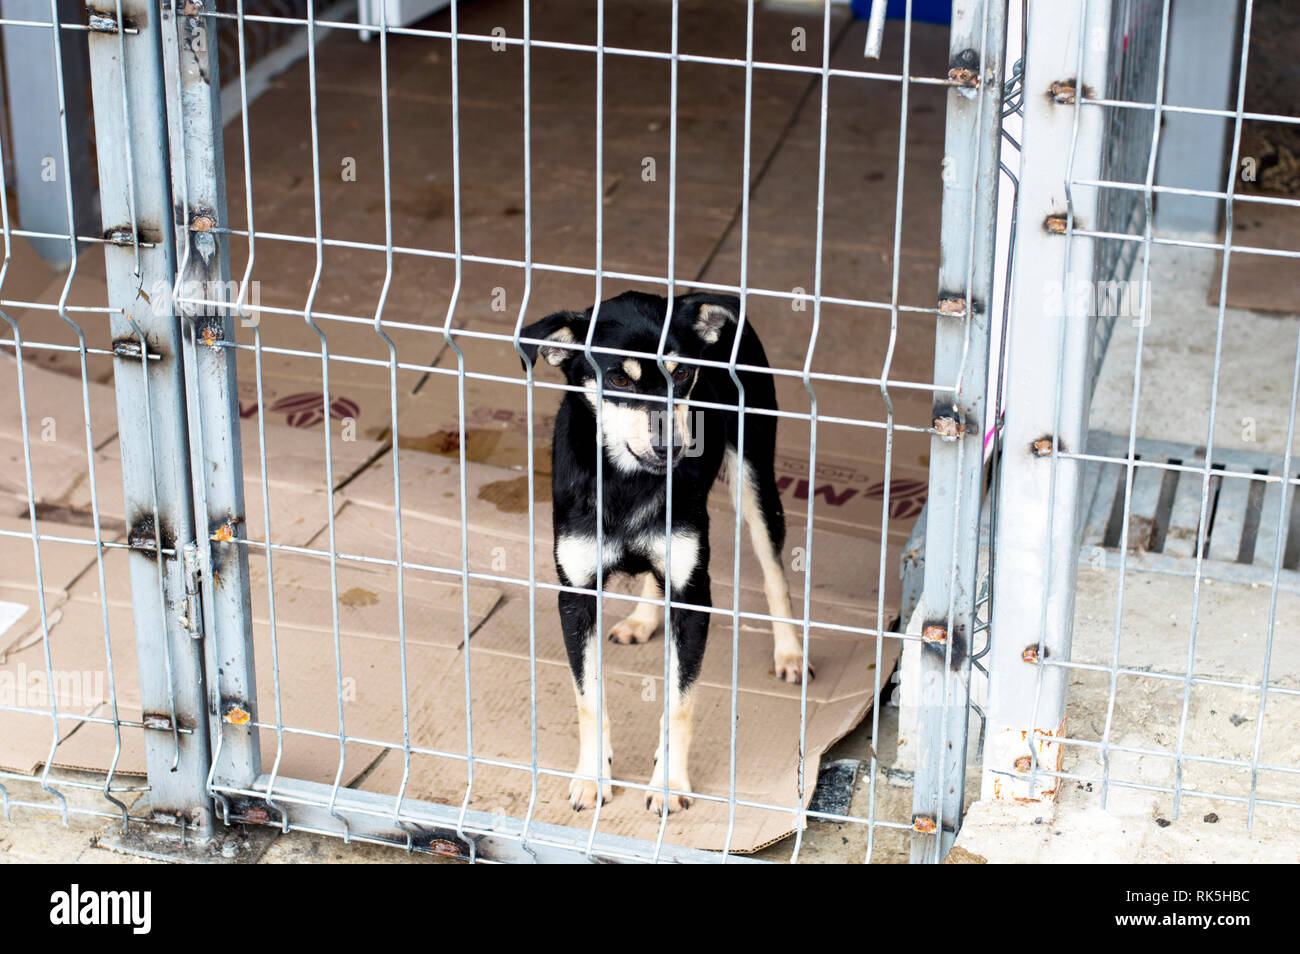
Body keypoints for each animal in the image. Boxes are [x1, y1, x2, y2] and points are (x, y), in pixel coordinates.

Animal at [520, 289, 811, 816]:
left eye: (682, 374)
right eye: (618, 379)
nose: (671, 447)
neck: (629, 481)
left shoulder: (695, 597)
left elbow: (680, 704)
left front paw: (670, 784)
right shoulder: (576, 597)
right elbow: (588, 699)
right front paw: (592, 778)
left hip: (755, 473)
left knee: (773, 569)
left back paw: (790, 651)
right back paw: (643, 618)